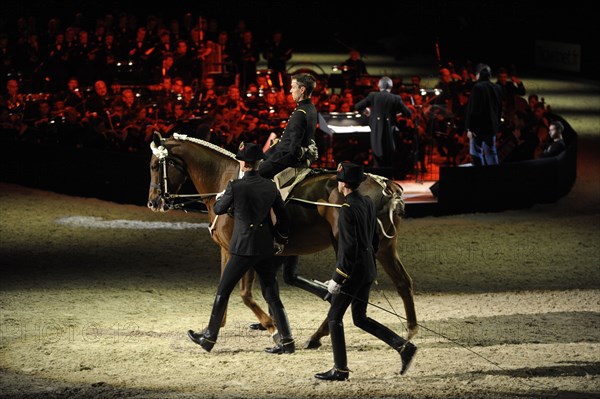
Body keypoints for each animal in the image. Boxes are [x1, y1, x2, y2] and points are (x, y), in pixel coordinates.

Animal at [146, 133, 418, 348]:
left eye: (154, 165)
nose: (153, 202)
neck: (224, 183)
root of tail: (386, 185)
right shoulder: (229, 250)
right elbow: (225, 287)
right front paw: (211, 329)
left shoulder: (244, 253)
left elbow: (244, 293)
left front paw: (273, 327)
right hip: (384, 248)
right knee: (403, 282)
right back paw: (410, 331)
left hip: (350, 246)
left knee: (351, 288)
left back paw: (318, 335)